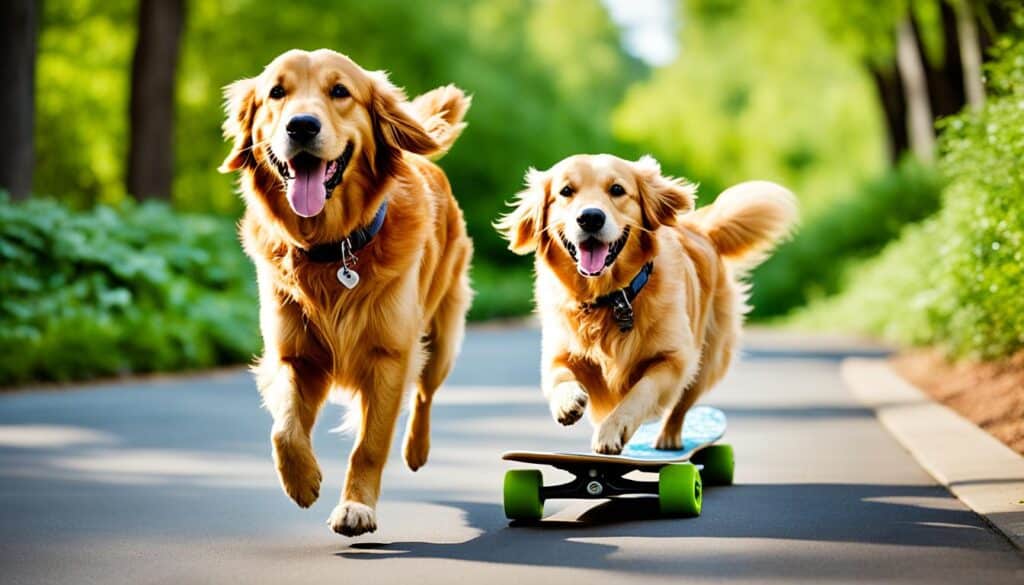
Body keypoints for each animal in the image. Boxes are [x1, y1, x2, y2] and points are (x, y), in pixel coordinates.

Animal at [219, 50, 471, 536]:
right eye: (276, 92)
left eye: (340, 92)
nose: (301, 126)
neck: (333, 249)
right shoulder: (293, 354)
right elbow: (284, 428)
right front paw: (302, 480)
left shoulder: (389, 355)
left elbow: (369, 445)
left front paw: (356, 506)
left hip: (440, 337)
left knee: (425, 392)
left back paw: (416, 450)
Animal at [493, 157, 790, 454]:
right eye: (566, 191)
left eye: (617, 189)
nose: (590, 217)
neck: (611, 299)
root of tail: (701, 230)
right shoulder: (559, 352)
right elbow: (558, 376)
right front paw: (567, 402)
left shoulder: (674, 359)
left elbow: (640, 392)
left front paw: (611, 431)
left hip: (706, 360)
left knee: (682, 405)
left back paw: (669, 440)